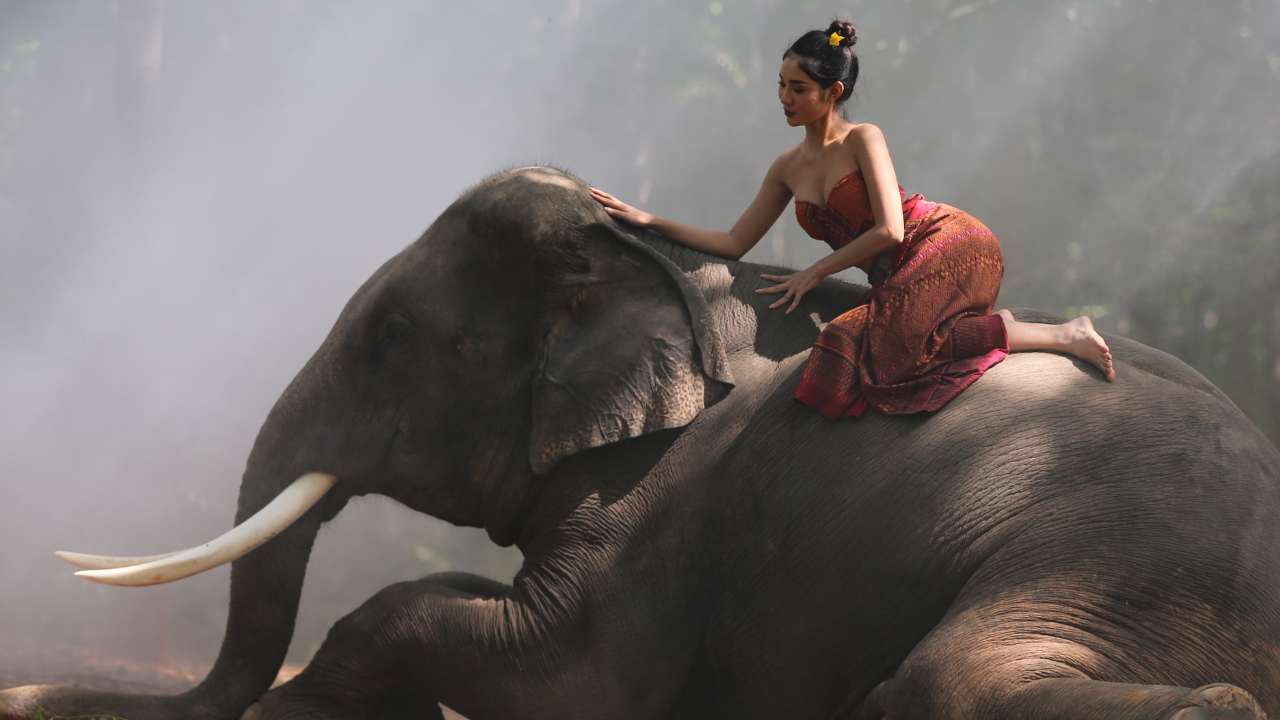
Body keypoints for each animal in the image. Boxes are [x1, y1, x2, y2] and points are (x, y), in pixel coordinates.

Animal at [2, 163, 1280, 717]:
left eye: (390, 339)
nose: (33, 695)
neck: (646, 266)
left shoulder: (661, 498)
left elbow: (566, 670)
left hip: (1113, 557)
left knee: (950, 677)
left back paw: (1207, 709)